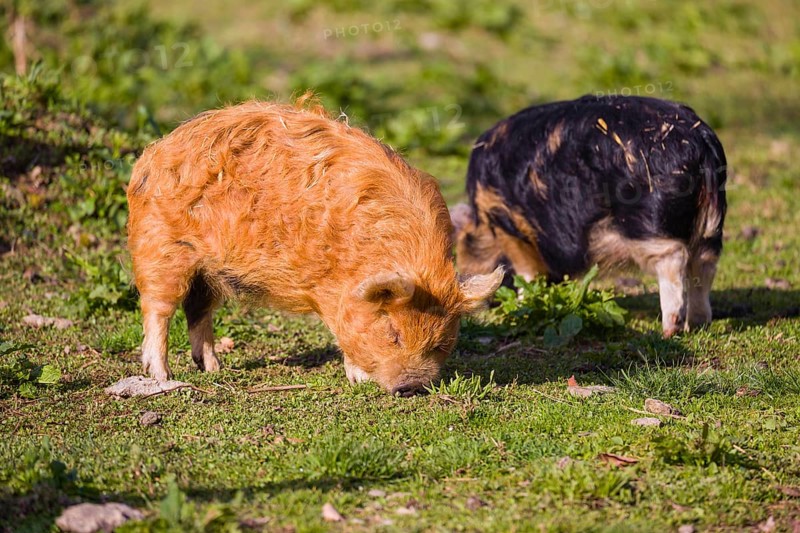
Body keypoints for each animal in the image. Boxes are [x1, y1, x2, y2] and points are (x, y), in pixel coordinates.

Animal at [126, 96, 503, 396]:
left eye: (440, 342)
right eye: (393, 332)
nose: (410, 388)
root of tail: (151, 155)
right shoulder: (331, 293)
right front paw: (359, 379)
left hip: (209, 272)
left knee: (198, 311)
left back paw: (214, 369)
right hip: (161, 249)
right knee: (157, 310)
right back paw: (162, 377)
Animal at [452, 95, 727, 337]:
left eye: (462, 250)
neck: (484, 224)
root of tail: (699, 143)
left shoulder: (515, 231)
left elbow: (527, 275)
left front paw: (523, 305)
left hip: (648, 221)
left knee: (675, 259)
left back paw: (670, 330)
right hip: (710, 224)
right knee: (704, 263)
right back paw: (698, 325)